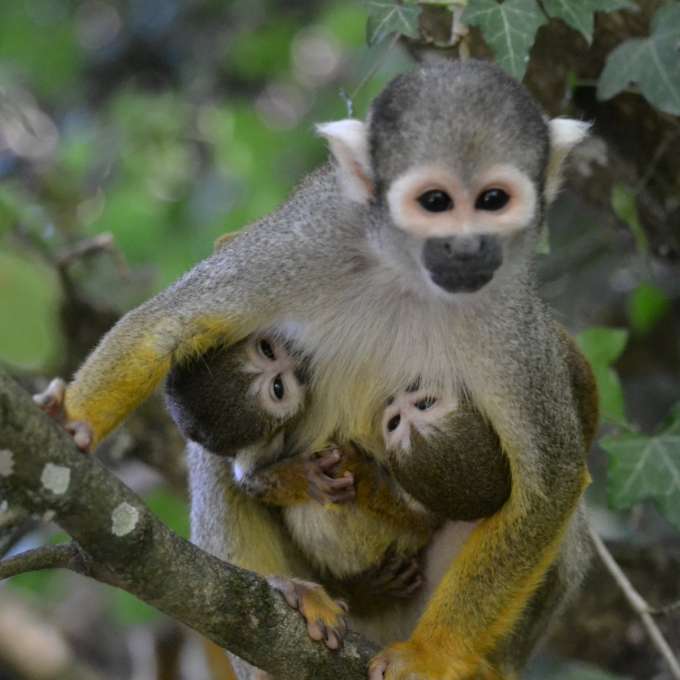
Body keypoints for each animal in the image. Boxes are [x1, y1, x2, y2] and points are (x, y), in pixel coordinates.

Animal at [37, 59, 596, 680]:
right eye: (435, 202)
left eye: (494, 199)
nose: (467, 248)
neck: (407, 274)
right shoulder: (316, 232)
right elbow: (169, 324)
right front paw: (76, 422)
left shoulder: (511, 314)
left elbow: (551, 483)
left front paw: (431, 654)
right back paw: (285, 591)